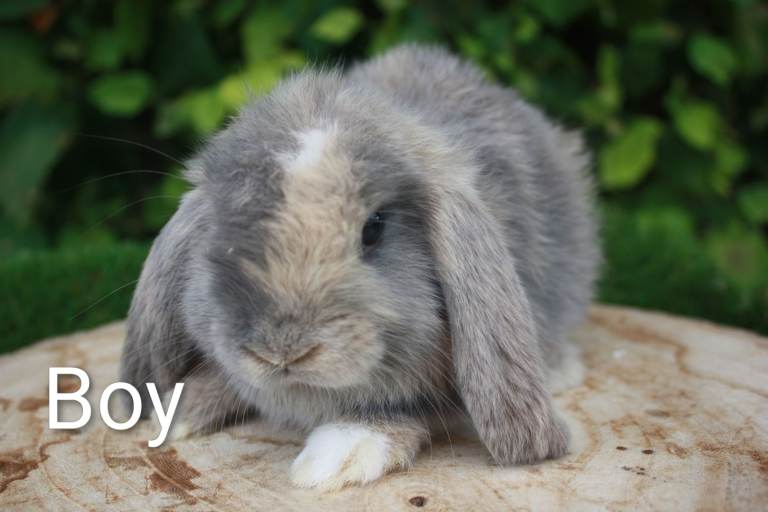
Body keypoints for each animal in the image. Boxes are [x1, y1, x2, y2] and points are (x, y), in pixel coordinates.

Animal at [120, 44, 600, 491]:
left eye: (374, 229)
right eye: (224, 230)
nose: (281, 350)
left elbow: (410, 410)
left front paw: (337, 456)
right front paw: (182, 410)